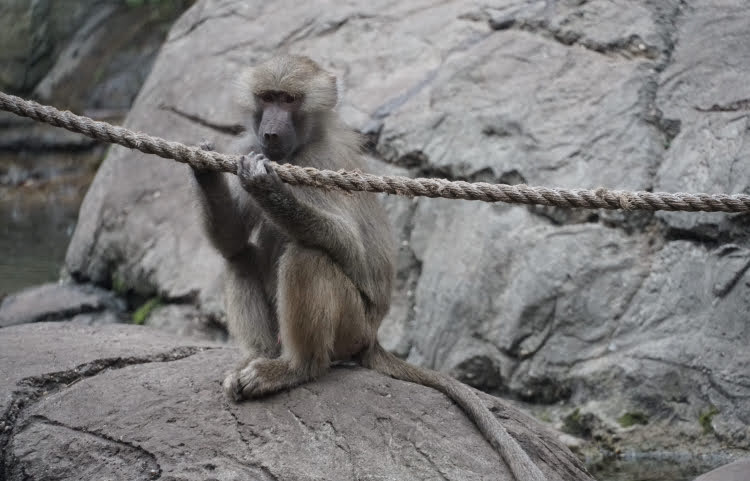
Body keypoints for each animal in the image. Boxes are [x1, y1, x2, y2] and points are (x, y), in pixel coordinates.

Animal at [190, 55, 547, 481]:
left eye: (289, 99)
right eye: (267, 97)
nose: (271, 132)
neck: (298, 146)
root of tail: (373, 336)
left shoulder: (320, 162)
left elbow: (348, 245)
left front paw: (267, 188)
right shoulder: (249, 146)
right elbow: (232, 242)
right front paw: (203, 166)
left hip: (352, 326)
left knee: (308, 255)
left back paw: (294, 367)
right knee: (240, 257)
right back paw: (257, 357)